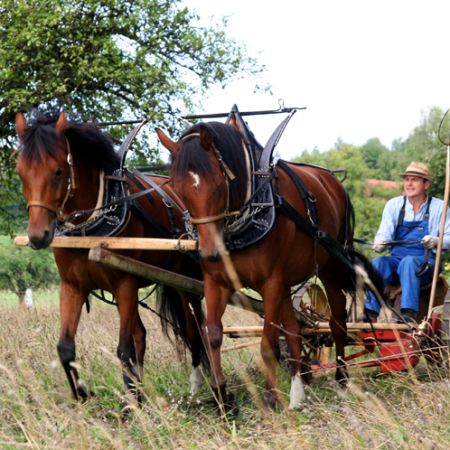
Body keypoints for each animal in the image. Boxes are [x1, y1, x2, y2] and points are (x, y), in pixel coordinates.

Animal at [14, 113, 207, 404]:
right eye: (20, 172)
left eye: (58, 171)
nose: (38, 236)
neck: (88, 227)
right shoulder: (72, 286)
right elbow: (65, 347)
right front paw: (83, 394)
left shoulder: (125, 283)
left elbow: (124, 348)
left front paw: (129, 404)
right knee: (143, 334)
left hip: (184, 281)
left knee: (194, 331)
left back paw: (199, 386)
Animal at [157, 121, 384, 410]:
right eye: (177, 189)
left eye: (218, 185)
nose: (210, 253)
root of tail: (334, 183)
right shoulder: (216, 283)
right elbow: (213, 335)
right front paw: (222, 398)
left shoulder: (271, 283)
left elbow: (268, 343)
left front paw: (268, 399)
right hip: (287, 285)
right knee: (296, 331)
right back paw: (297, 393)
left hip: (329, 270)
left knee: (337, 324)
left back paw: (341, 383)